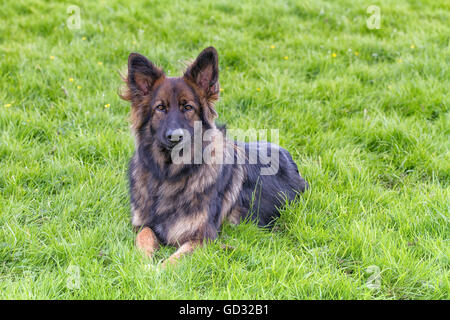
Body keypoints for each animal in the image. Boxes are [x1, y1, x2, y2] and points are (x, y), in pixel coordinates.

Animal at [119, 45, 308, 264]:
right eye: (160, 108)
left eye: (188, 107)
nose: (175, 137)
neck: (169, 176)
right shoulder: (142, 224)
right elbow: (144, 236)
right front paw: (142, 264)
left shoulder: (203, 237)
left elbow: (172, 261)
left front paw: (155, 269)